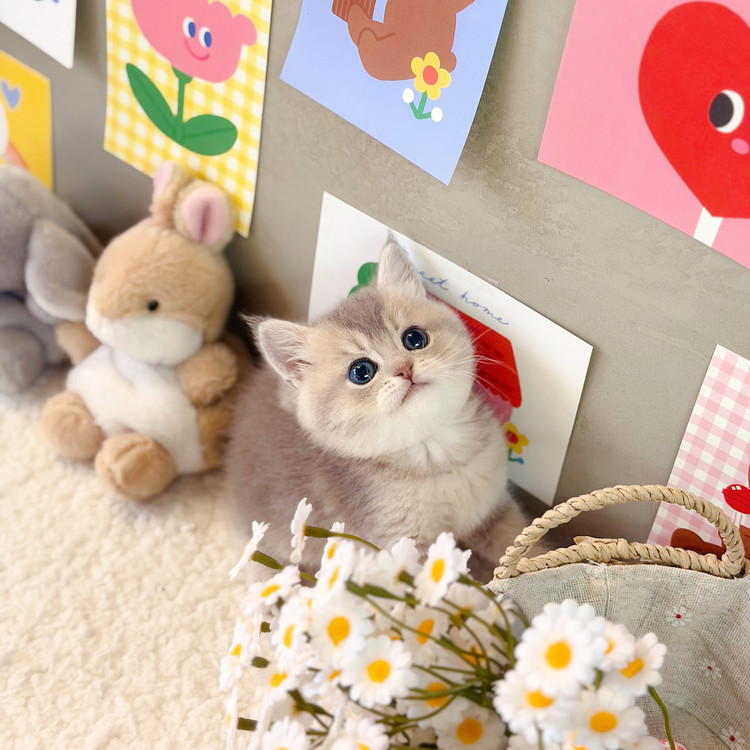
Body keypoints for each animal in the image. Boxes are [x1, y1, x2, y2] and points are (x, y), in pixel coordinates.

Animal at [225, 241, 529, 582]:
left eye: (414, 338)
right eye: (361, 371)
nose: (405, 369)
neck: (436, 458)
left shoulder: (493, 510)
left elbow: (521, 547)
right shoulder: (404, 548)